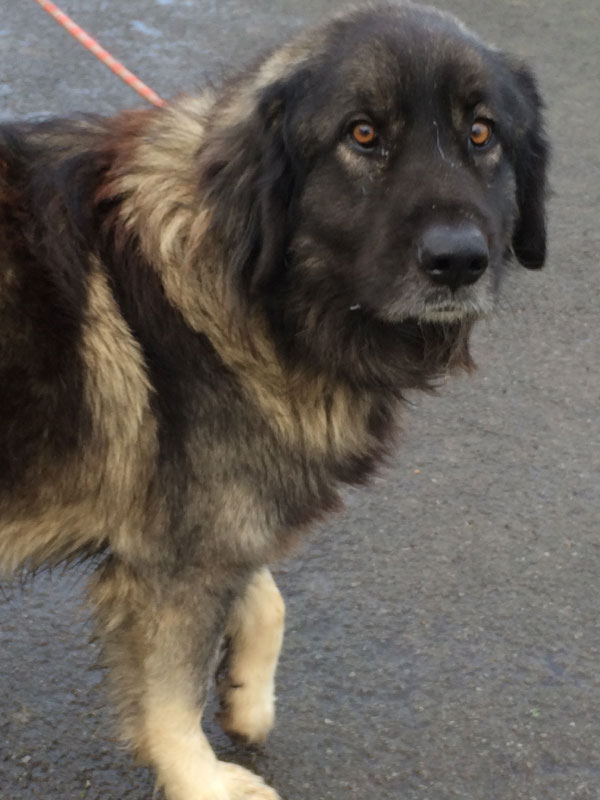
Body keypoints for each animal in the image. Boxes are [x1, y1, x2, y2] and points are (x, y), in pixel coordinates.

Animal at [0, 3, 548, 796]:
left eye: (482, 134)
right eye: (362, 134)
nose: (458, 262)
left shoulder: (210, 523)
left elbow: (265, 595)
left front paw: (247, 697)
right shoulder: (177, 564)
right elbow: (170, 689)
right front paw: (199, 776)